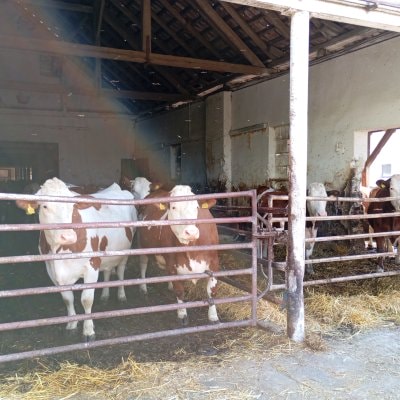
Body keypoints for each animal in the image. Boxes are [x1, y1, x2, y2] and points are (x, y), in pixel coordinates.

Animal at [16, 177, 137, 341]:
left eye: (73, 206)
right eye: (45, 206)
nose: (68, 236)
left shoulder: (92, 266)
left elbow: (86, 299)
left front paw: (88, 330)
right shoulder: (52, 269)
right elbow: (68, 299)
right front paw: (72, 324)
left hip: (125, 250)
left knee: (121, 271)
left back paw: (121, 294)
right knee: (107, 271)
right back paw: (105, 294)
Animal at [134, 180, 219, 326]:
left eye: (196, 207)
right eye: (173, 207)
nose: (191, 232)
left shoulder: (214, 263)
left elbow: (211, 291)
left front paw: (213, 316)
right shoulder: (172, 264)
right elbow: (179, 291)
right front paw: (182, 314)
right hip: (141, 244)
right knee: (143, 264)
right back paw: (143, 287)